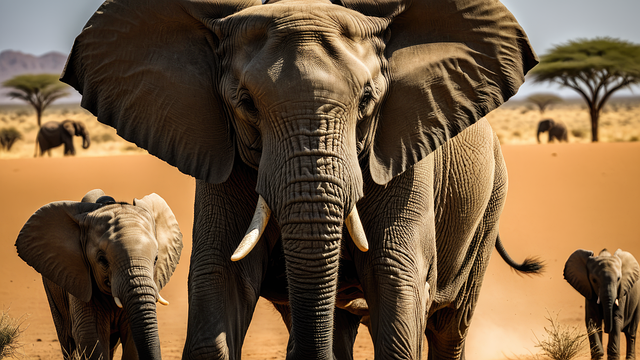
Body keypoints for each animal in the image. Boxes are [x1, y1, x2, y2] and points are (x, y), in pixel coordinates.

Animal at [61, 0, 540, 358]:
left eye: (367, 100)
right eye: (246, 104)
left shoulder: (404, 148)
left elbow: (395, 275)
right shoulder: (221, 150)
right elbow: (220, 276)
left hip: (491, 201)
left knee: (448, 327)